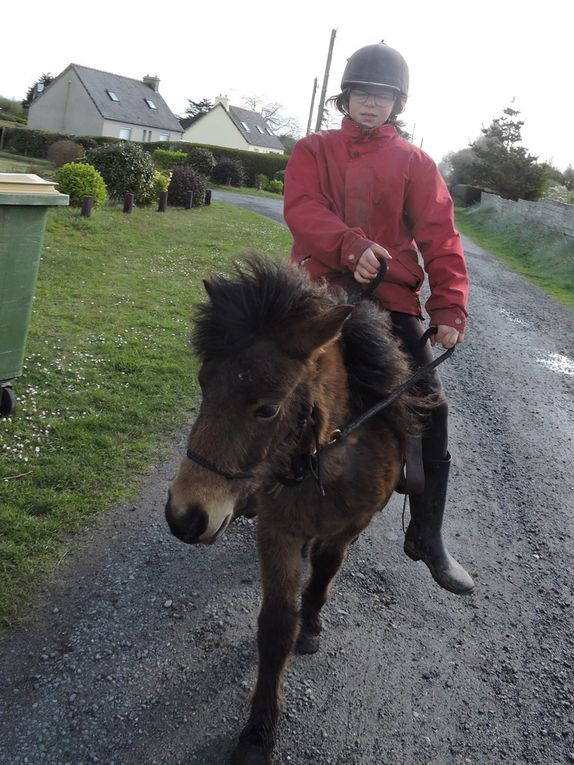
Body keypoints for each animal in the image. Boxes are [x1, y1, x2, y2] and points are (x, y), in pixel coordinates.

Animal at [164, 256, 426, 764]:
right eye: (203, 383)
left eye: (267, 409)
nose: (185, 516)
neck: (326, 457)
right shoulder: (277, 531)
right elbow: (275, 625)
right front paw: (259, 731)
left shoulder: (347, 528)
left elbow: (324, 575)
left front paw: (313, 625)